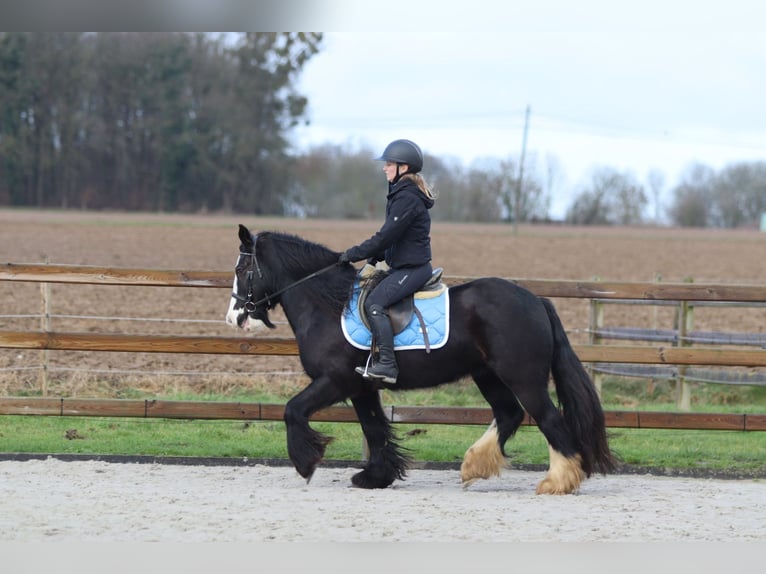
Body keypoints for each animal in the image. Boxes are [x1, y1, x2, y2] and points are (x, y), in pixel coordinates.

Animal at [225, 224, 616, 494]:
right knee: (509, 415)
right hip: (487, 375)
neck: (328, 306)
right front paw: (375, 476)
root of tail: (536, 300)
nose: (234, 317)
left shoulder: (335, 380)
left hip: (523, 377)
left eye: (243, 270)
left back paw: (558, 481)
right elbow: (374, 428)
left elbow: (293, 410)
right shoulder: (361, 386)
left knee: (548, 419)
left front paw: (306, 463)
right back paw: (474, 465)